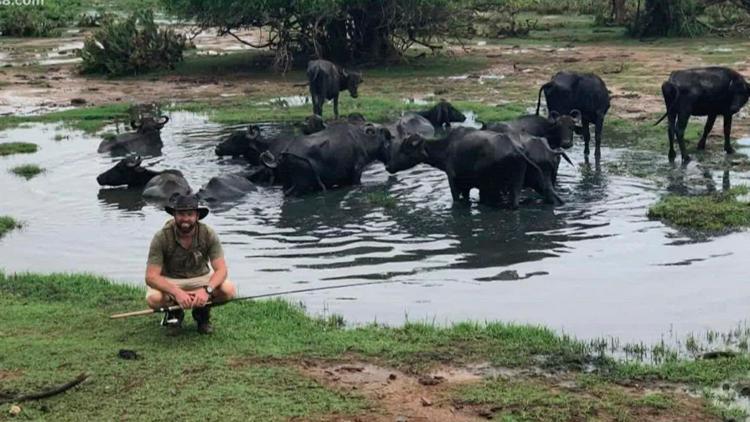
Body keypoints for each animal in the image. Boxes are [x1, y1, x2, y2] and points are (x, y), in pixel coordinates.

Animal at [262, 121, 394, 195]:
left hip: (287, 183)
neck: (361, 140)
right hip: (300, 185)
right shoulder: (357, 172)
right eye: (385, 137)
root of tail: (284, 153)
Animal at [388, 128, 560, 209]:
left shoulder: (455, 183)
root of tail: (516, 148)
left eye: (404, 149)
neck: (447, 148)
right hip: (533, 182)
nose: (388, 166)